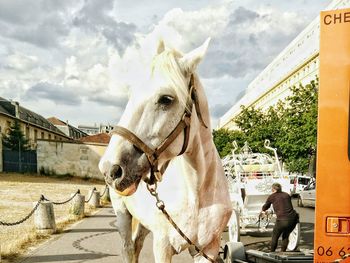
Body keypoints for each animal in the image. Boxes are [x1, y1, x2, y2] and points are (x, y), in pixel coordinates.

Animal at [99, 39, 232, 263]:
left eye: (166, 99)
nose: (110, 168)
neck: (197, 193)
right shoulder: (162, 245)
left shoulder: (208, 249)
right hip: (122, 216)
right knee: (128, 248)